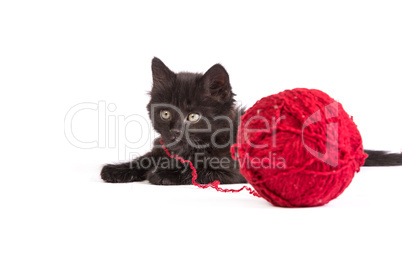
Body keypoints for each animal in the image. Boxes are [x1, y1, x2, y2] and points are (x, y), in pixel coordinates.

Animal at [101, 57, 245, 184]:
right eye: (166, 114)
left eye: (193, 116)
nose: (175, 131)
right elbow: (145, 159)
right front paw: (115, 170)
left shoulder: (231, 169)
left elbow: (196, 170)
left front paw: (161, 173)